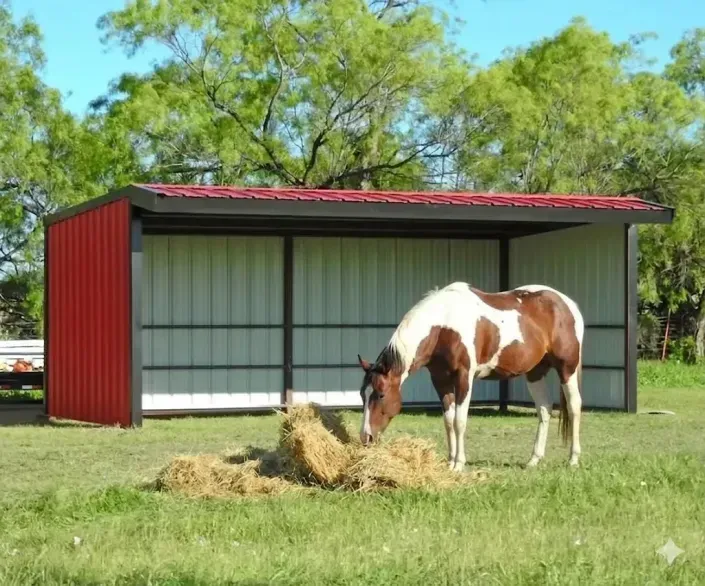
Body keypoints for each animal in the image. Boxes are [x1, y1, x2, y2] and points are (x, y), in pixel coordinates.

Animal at [357, 281, 584, 471]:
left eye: (381, 394)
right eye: (362, 395)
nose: (365, 437)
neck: (444, 326)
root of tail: (567, 304)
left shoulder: (463, 377)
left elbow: (460, 421)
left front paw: (459, 463)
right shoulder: (440, 379)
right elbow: (448, 420)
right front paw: (450, 461)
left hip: (567, 368)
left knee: (574, 406)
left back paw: (573, 459)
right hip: (535, 372)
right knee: (544, 409)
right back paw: (534, 460)